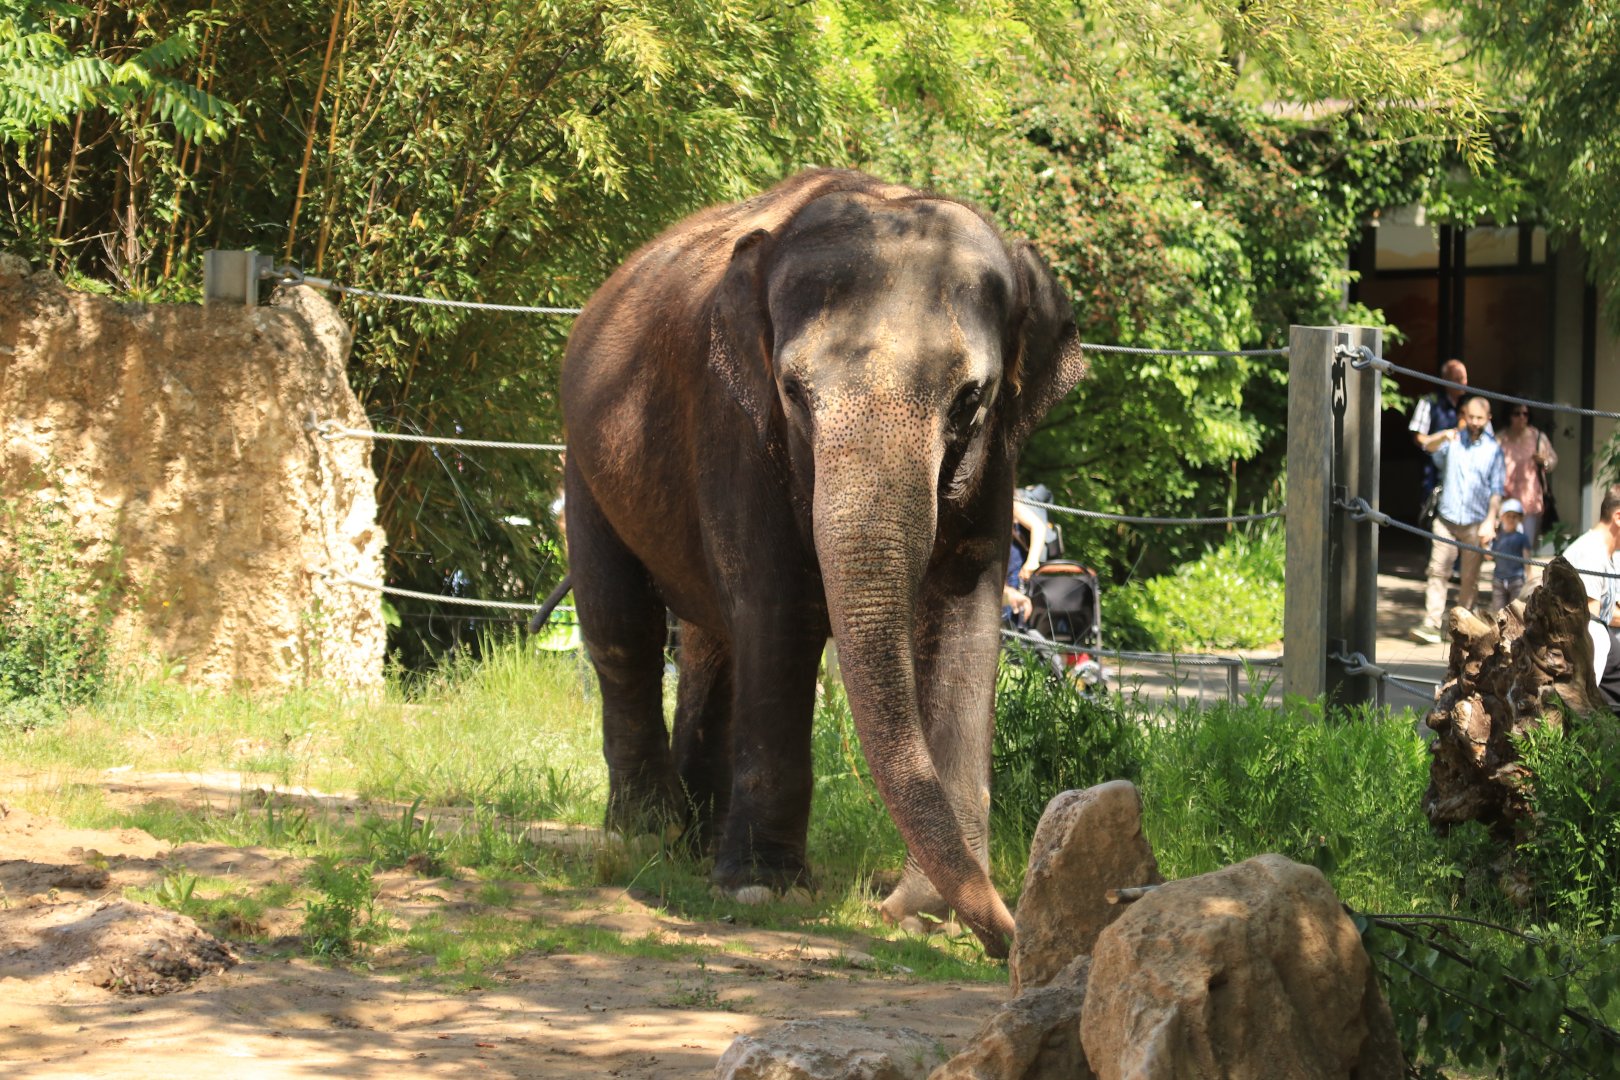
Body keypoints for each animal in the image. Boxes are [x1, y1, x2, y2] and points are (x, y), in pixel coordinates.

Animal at [558, 168, 1086, 957]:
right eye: (792, 392)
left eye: (972, 399)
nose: (1007, 936)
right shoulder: (736, 424)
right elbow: (780, 608)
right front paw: (762, 889)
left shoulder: (996, 458)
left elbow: (963, 616)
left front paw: (927, 912)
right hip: (584, 461)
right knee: (624, 626)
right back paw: (645, 839)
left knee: (712, 646)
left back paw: (693, 844)